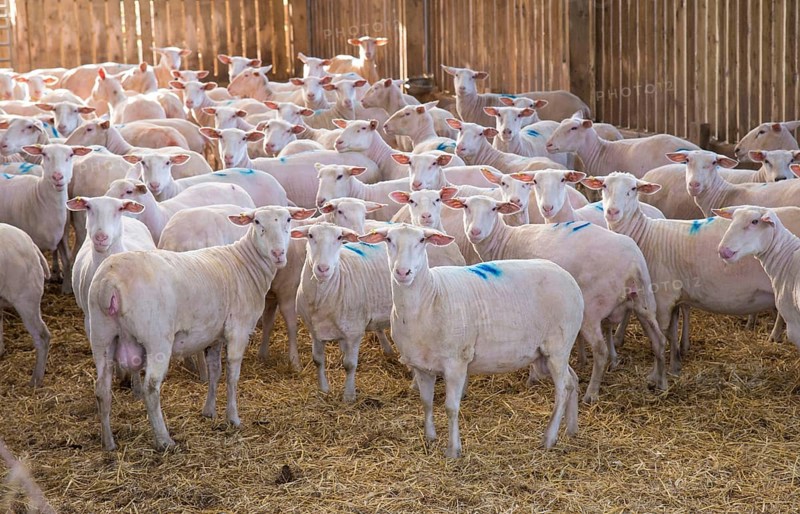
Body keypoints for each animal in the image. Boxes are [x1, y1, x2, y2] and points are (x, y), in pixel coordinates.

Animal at [88, 205, 313, 451]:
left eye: (289, 219)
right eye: (256, 222)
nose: (278, 253)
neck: (245, 264)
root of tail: (110, 281)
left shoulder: (214, 335)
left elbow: (215, 372)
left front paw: (209, 411)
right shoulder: (238, 330)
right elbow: (232, 376)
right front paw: (233, 417)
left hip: (101, 336)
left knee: (101, 389)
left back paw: (108, 442)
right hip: (156, 339)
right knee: (151, 388)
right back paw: (164, 440)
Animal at [359, 225, 583, 456]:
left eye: (422, 240)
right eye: (388, 239)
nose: (403, 272)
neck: (430, 297)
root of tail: (568, 278)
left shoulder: (456, 363)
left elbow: (451, 407)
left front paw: (453, 450)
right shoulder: (421, 365)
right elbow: (426, 402)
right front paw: (429, 438)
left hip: (558, 346)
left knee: (563, 388)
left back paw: (550, 437)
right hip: (546, 354)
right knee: (573, 381)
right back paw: (571, 429)